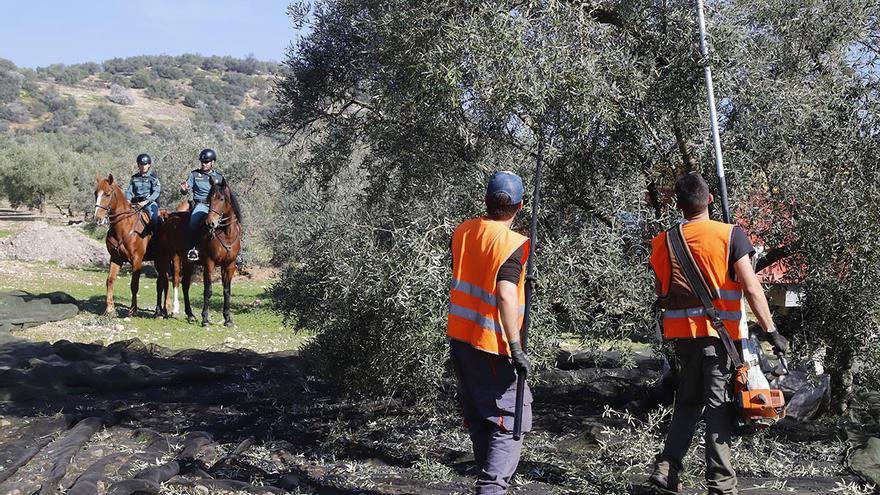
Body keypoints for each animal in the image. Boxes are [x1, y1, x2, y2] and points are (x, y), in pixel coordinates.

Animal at [95, 172, 155, 316]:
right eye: (95, 193)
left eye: (107, 194)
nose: (97, 218)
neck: (124, 227)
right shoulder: (116, 258)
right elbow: (110, 280)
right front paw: (110, 309)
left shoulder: (137, 260)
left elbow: (134, 285)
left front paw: (133, 310)